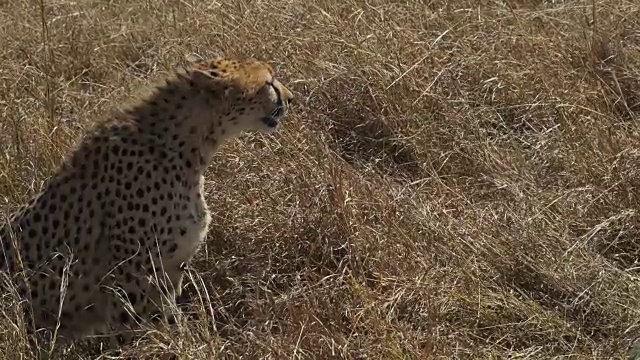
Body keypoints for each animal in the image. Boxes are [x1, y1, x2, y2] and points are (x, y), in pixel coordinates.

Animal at [0, 56, 296, 352]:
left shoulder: (170, 269)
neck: (189, 148)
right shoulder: (133, 278)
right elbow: (143, 333)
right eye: (268, 83)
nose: (291, 98)